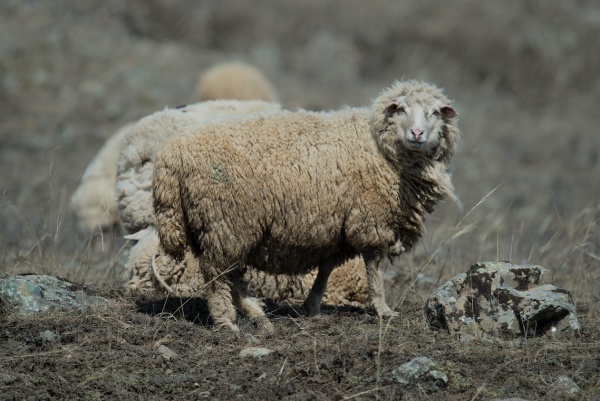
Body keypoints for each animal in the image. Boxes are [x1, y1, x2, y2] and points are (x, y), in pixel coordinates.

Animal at [154, 79, 460, 332]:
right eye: (402, 109)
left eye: (435, 112)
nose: (417, 133)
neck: (378, 145)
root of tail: (170, 157)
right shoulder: (371, 220)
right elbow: (373, 269)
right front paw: (383, 310)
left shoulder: (336, 228)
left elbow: (325, 269)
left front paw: (312, 307)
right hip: (226, 221)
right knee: (217, 274)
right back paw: (226, 321)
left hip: (215, 226)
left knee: (232, 275)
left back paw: (257, 315)